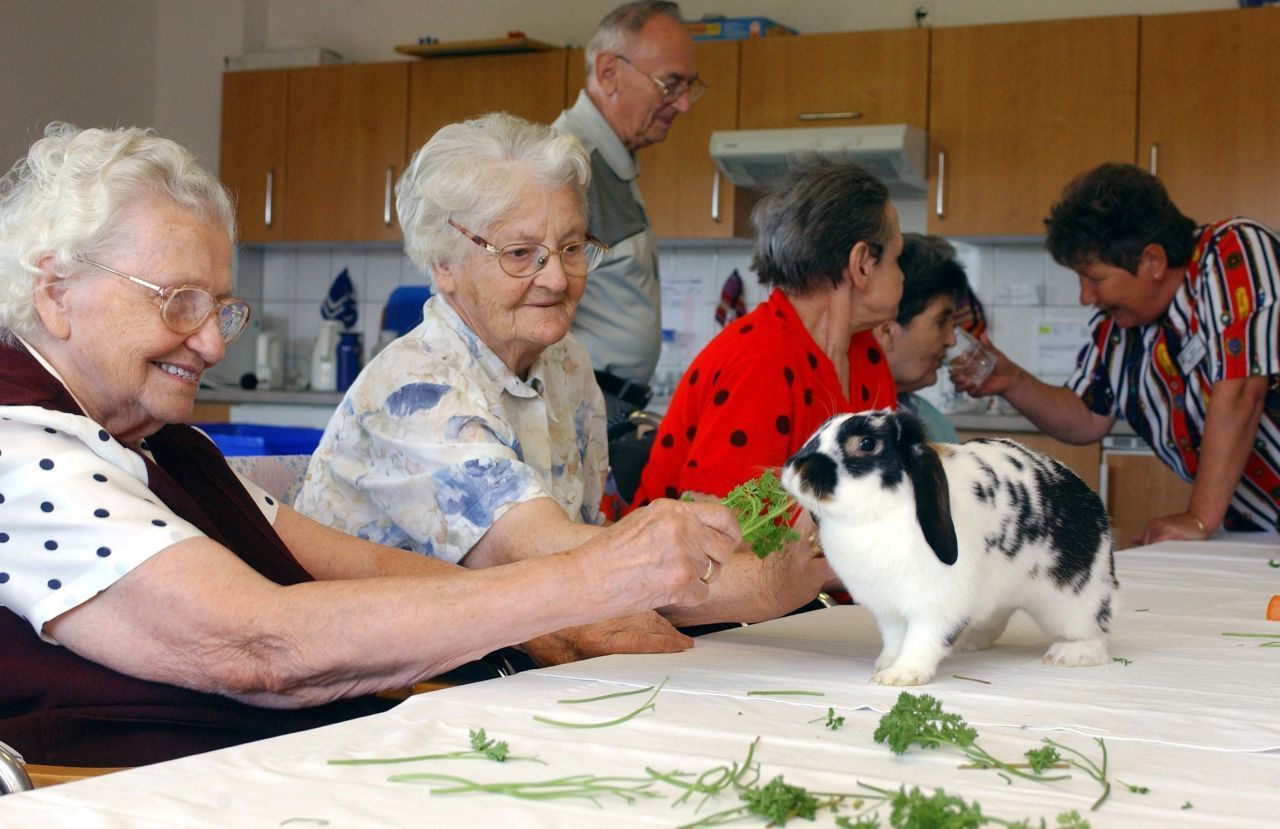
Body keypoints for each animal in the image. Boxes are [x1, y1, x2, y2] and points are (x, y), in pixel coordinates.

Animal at [773, 409, 1116, 685]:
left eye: (867, 444)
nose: (795, 470)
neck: (877, 516)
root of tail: (1085, 492)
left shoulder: (936, 607)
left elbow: (922, 640)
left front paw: (902, 675)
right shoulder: (889, 611)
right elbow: (895, 640)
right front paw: (885, 666)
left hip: (1073, 600)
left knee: (1096, 634)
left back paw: (1071, 654)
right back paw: (970, 641)